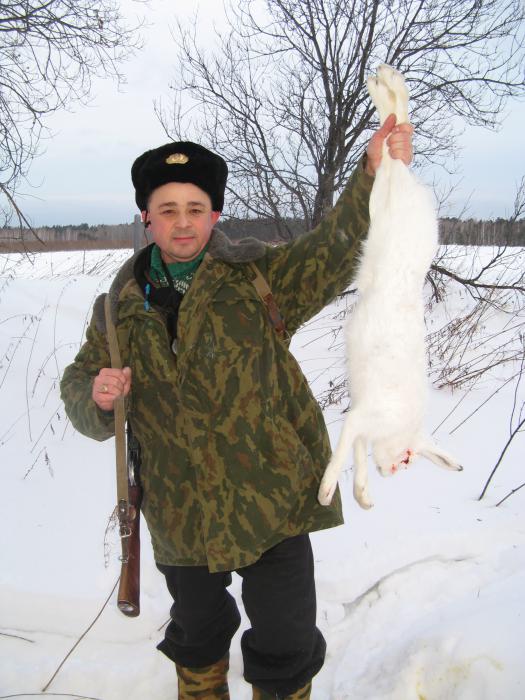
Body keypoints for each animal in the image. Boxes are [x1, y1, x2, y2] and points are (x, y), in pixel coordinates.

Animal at [318, 64, 461, 510]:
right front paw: (327, 491)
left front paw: (363, 495)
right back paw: (385, 84)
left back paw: (383, 85)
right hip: (382, 201)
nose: (392, 471)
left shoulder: (363, 419)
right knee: (393, 130)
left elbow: (357, 447)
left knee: (392, 127)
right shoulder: (363, 416)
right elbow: (347, 444)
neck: (398, 427)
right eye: (408, 459)